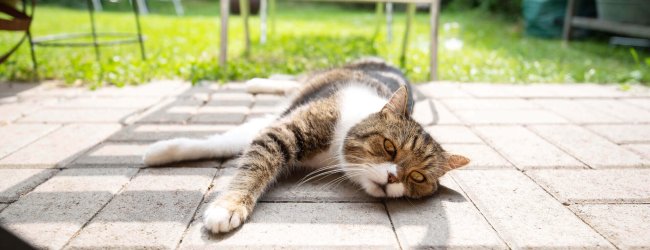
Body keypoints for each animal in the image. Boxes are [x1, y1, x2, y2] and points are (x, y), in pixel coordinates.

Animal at [142, 57, 468, 233]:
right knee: (294, 79)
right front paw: (229, 206)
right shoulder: (284, 129)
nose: (392, 178)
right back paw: (258, 81)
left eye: (417, 177)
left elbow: (228, 143)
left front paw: (162, 151)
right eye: (389, 147)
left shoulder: (272, 124)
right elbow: (250, 162)